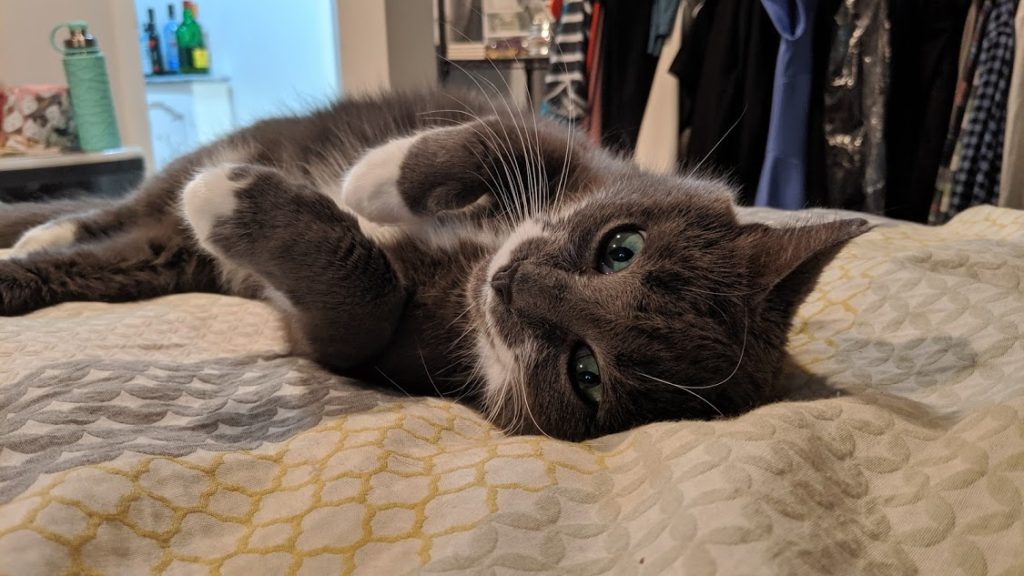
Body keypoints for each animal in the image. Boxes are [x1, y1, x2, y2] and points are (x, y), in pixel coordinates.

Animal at [0, 89, 868, 438]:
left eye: (587, 373)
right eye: (621, 247)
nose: (512, 285)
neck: (475, 257)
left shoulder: (384, 349)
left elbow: (363, 305)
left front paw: (238, 201)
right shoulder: (583, 157)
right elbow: (498, 135)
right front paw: (371, 179)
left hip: (160, 261)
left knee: (119, 247)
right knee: (109, 206)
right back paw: (40, 230)